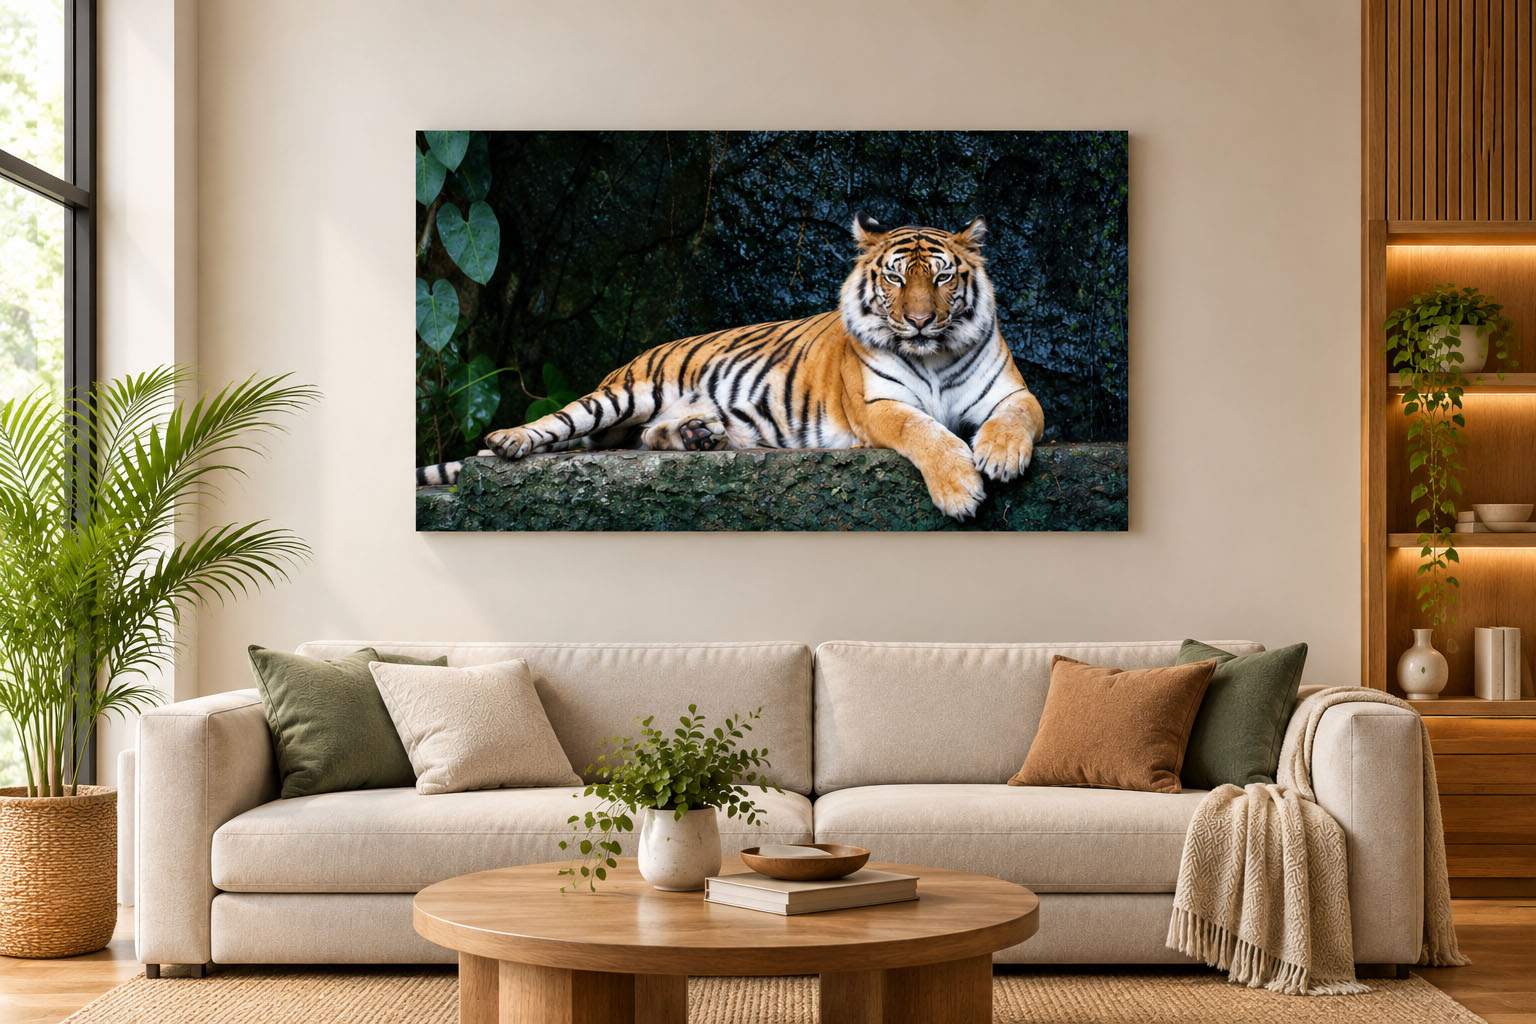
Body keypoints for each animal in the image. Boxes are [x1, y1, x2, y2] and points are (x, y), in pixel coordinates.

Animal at [418, 214, 1045, 520]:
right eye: (894, 278)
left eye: (942, 277)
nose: (918, 321)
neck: (931, 355)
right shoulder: (879, 406)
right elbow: (926, 433)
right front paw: (961, 491)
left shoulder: (1011, 393)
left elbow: (1017, 418)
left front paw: (1000, 456)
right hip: (624, 393)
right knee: (565, 422)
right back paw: (506, 442)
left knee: (647, 436)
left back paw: (700, 434)